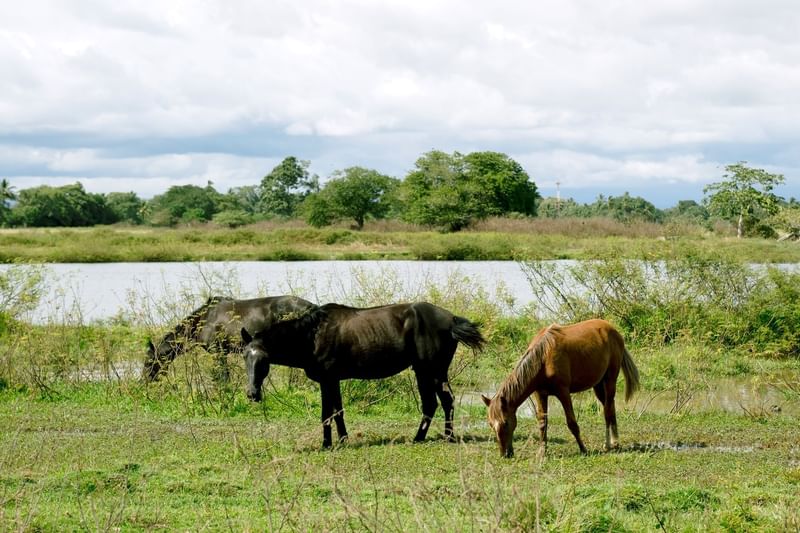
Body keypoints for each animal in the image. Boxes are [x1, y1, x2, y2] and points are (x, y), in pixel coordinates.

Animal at [143, 295, 315, 382]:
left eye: (149, 362)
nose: (143, 382)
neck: (203, 320)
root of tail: (311, 306)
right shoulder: (223, 353)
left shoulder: (217, 352)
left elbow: (223, 378)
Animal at [240, 302, 486, 448]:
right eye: (244, 357)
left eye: (263, 360)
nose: (252, 394)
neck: (312, 335)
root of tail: (451, 319)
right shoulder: (332, 380)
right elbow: (338, 411)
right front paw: (342, 440)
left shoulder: (328, 379)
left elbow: (327, 414)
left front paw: (327, 444)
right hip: (423, 371)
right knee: (432, 404)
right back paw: (421, 438)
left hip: (433, 370)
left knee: (445, 401)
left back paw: (447, 437)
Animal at [482, 318, 640, 457]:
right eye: (490, 424)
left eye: (506, 423)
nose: (505, 454)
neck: (543, 358)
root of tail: (613, 330)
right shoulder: (540, 393)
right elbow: (542, 423)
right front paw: (542, 452)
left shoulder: (563, 392)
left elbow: (572, 423)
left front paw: (583, 449)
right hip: (598, 385)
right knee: (610, 407)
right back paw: (614, 442)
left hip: (610, 380)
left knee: (607, 411)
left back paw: (609, 444)